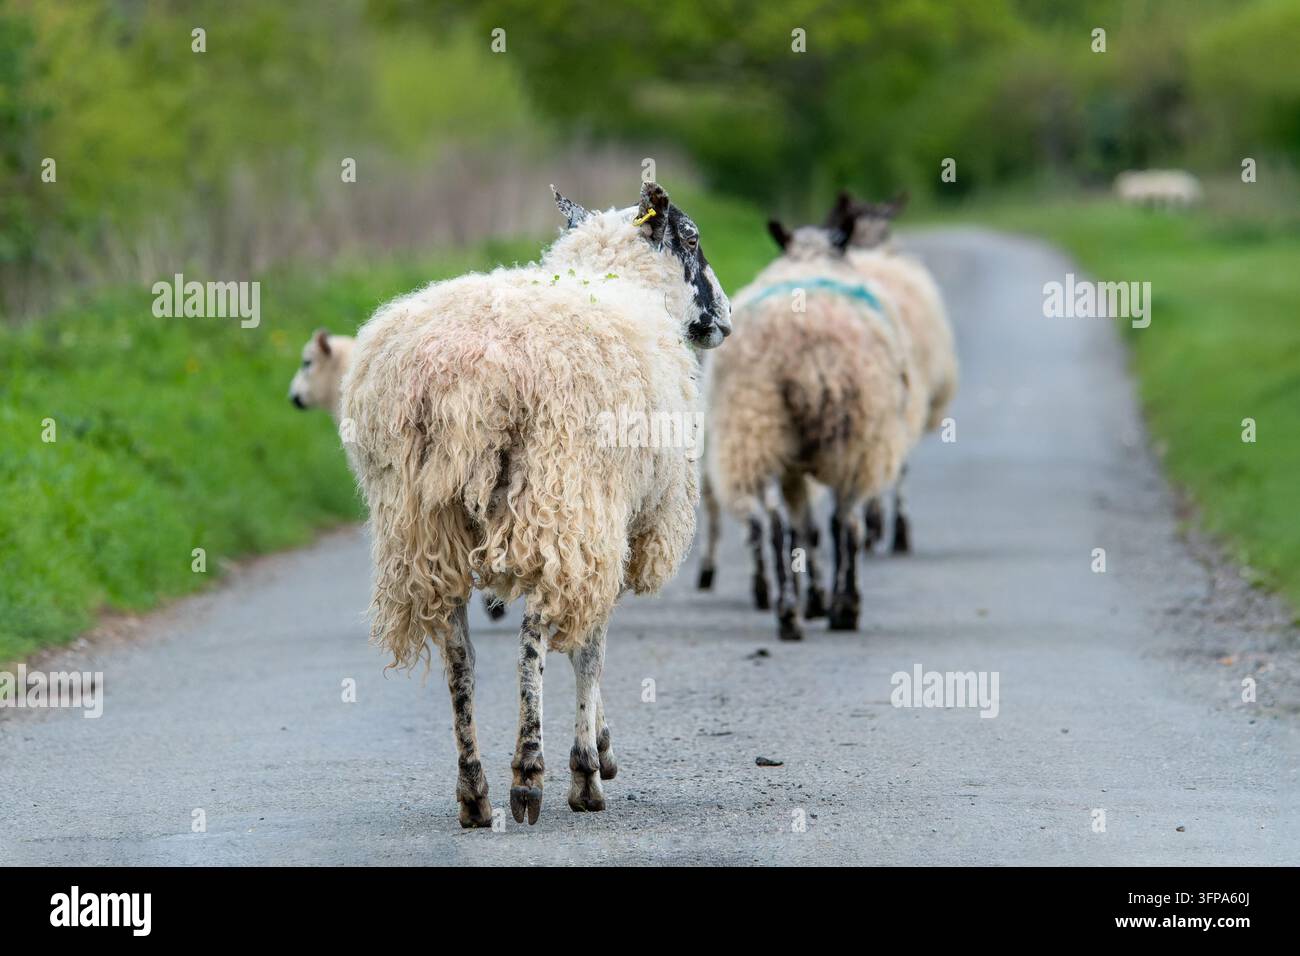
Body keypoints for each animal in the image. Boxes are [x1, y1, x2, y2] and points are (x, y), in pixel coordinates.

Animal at [341, 180, 730, 826]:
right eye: (693, 237)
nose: (724, 319)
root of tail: (464, 379)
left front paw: (601, 744)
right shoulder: (609, 517)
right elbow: (589, 648)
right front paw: (592, 760)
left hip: (423, 522)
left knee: (459, 652)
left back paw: (474, 790)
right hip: (562, 492)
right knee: (533, 636)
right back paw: (535, 774)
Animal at [705, 221, 923, 639]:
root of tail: (808, 348)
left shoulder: (792, 463)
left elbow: (803, 530)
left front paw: (814, 599)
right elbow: (817, 529)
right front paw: (825, 601)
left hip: (763, 431)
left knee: (781, 526)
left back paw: (790, 613)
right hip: (849, 439)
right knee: (844, 522)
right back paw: (844, 608)